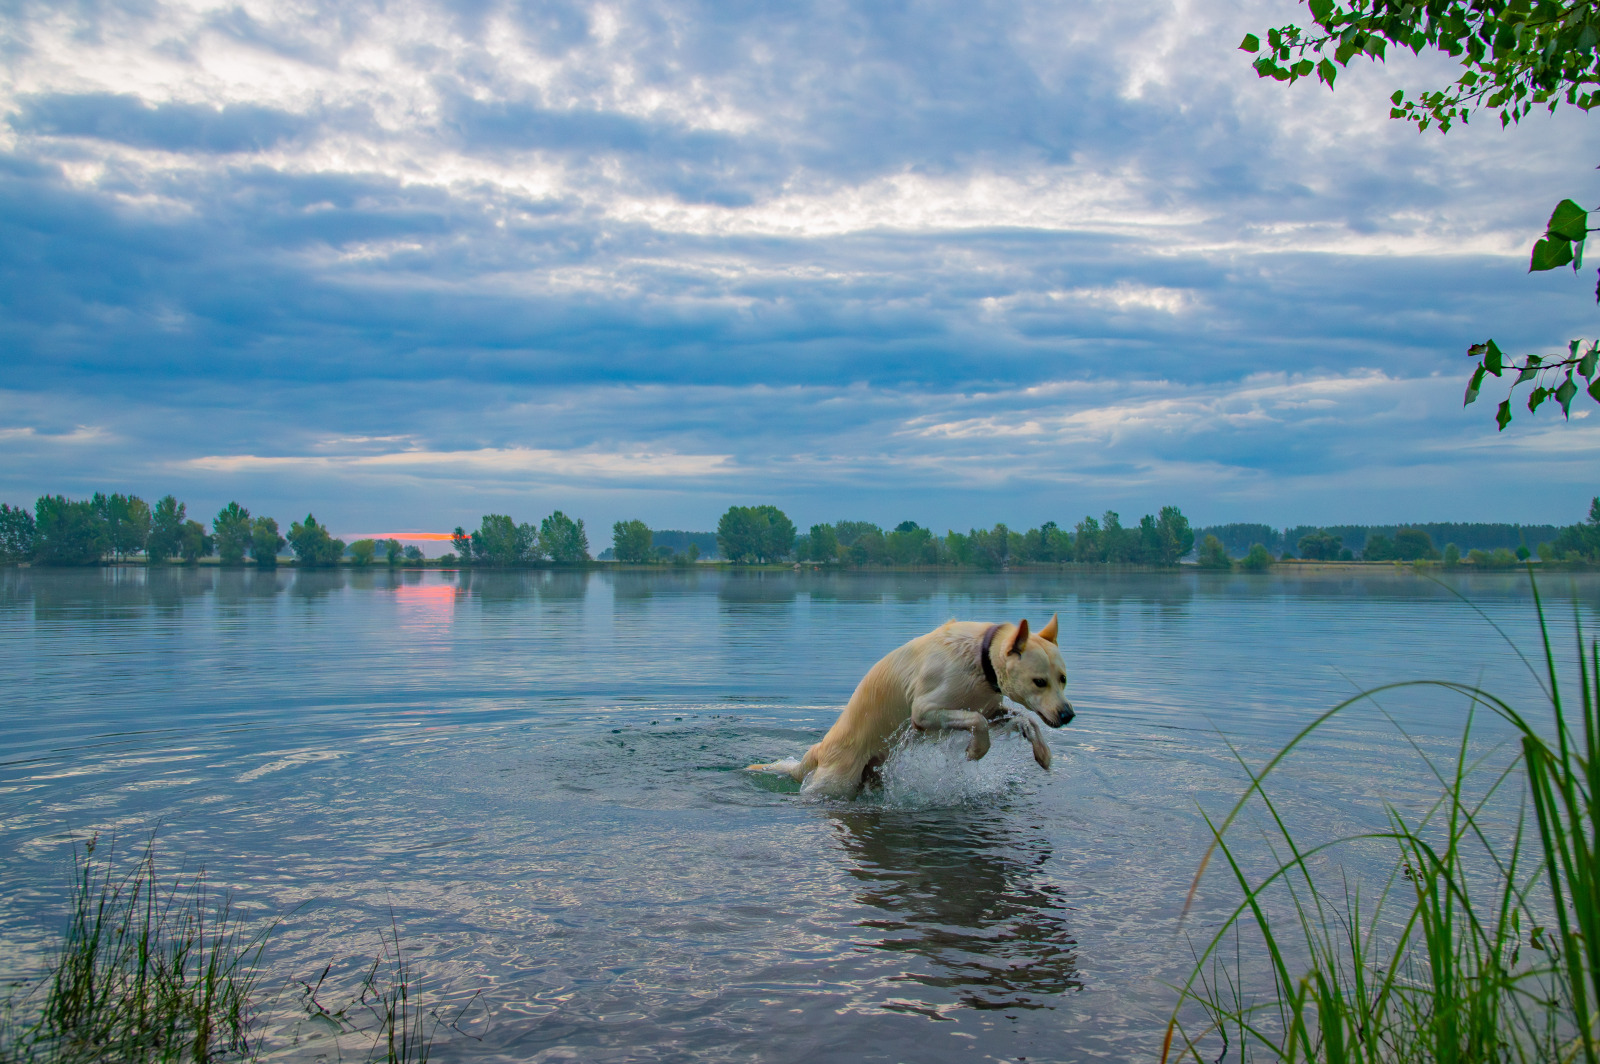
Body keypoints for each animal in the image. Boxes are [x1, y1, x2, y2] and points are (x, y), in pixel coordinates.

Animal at [745, 614, 1075, 796]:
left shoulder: (991, 709)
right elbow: (977, 722)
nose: (1068, 714)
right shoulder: (924, 712)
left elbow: (1025, 719)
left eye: (1063, 679)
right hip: (836, 781)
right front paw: (976, 750)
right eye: (1039, 682)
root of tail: (819, 747)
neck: (981, 662)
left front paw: (1043, 753)